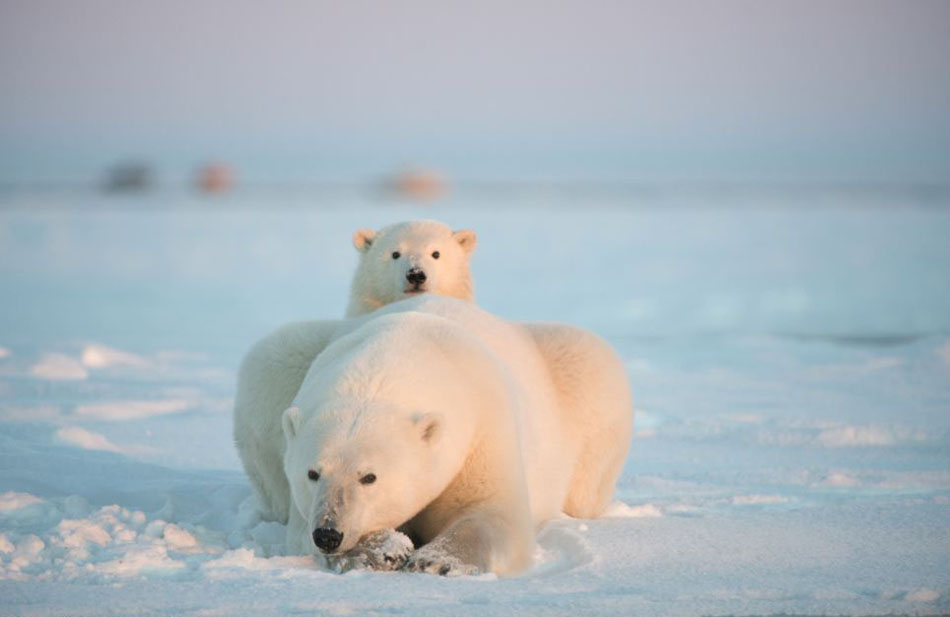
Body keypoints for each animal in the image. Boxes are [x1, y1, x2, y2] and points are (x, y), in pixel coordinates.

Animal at [234, 296, 632, 576]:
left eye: (369, 476)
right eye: (313, 473)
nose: (329, 533)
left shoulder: (483, 427)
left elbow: (491, 511)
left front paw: (436, 560)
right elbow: (298, 532)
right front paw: (382, 549)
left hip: (579, 380)